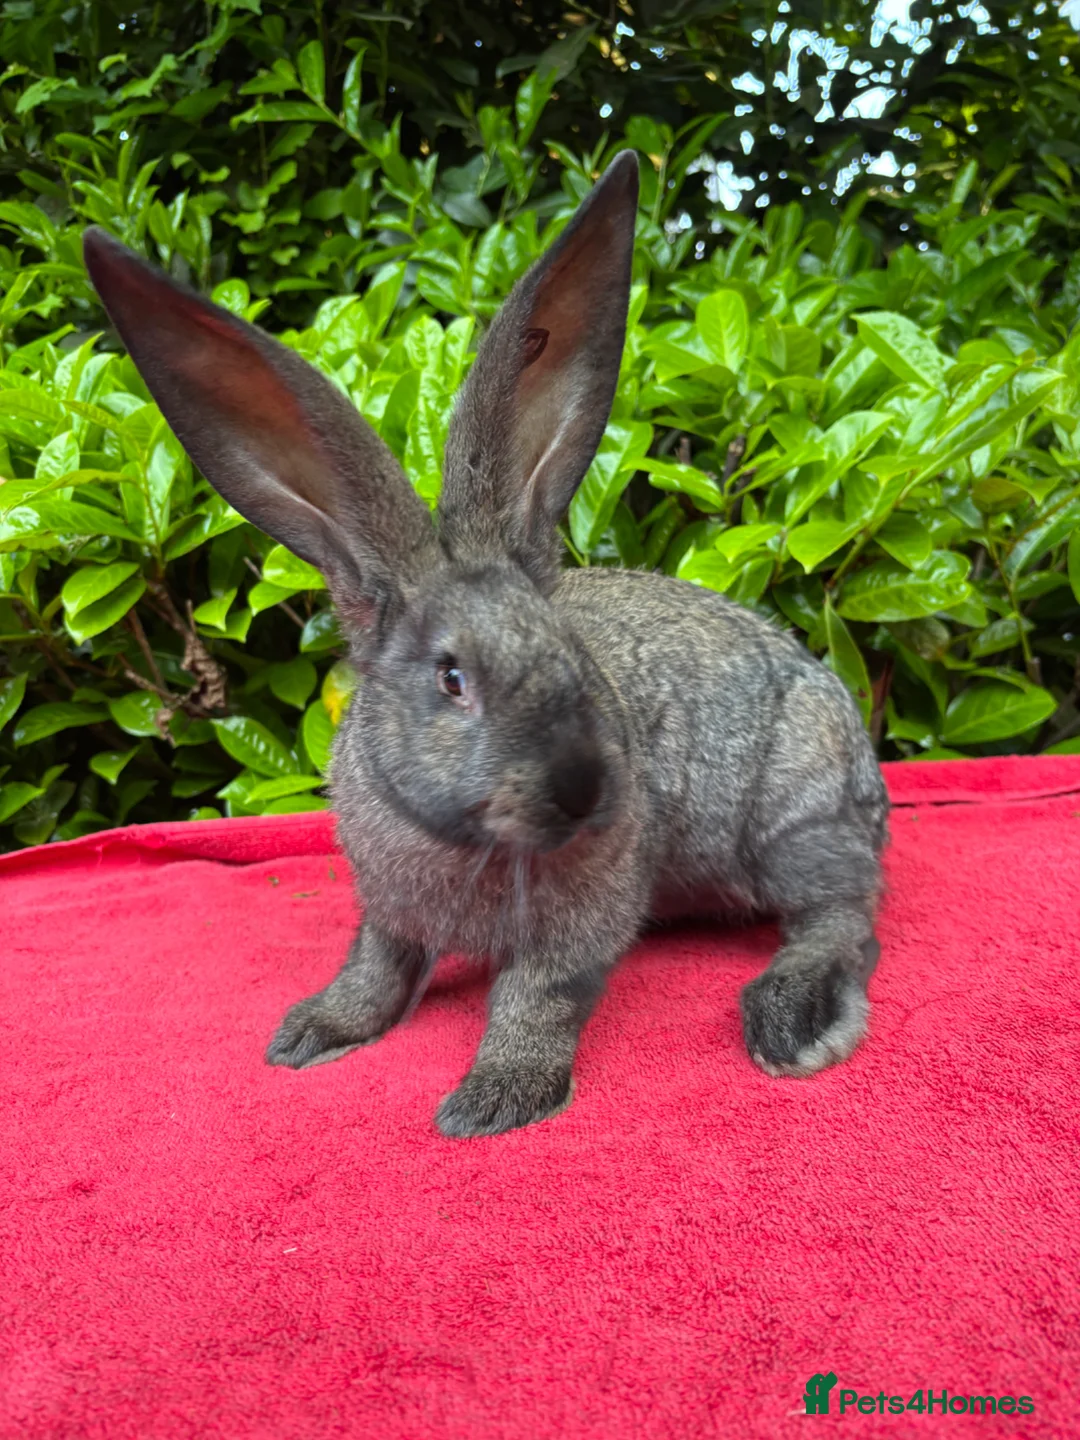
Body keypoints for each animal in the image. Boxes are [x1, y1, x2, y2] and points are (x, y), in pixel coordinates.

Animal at [83, 149, 888, 1139]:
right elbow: (375, 968)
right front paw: (312, 1034)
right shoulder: (384, 911)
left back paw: (792, 1019)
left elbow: (535, 999)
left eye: (573, 657)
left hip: (795, 818)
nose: (583, 787)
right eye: (450, 678)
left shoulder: (575, 927)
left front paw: (492, 1100)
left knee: (841, 917)